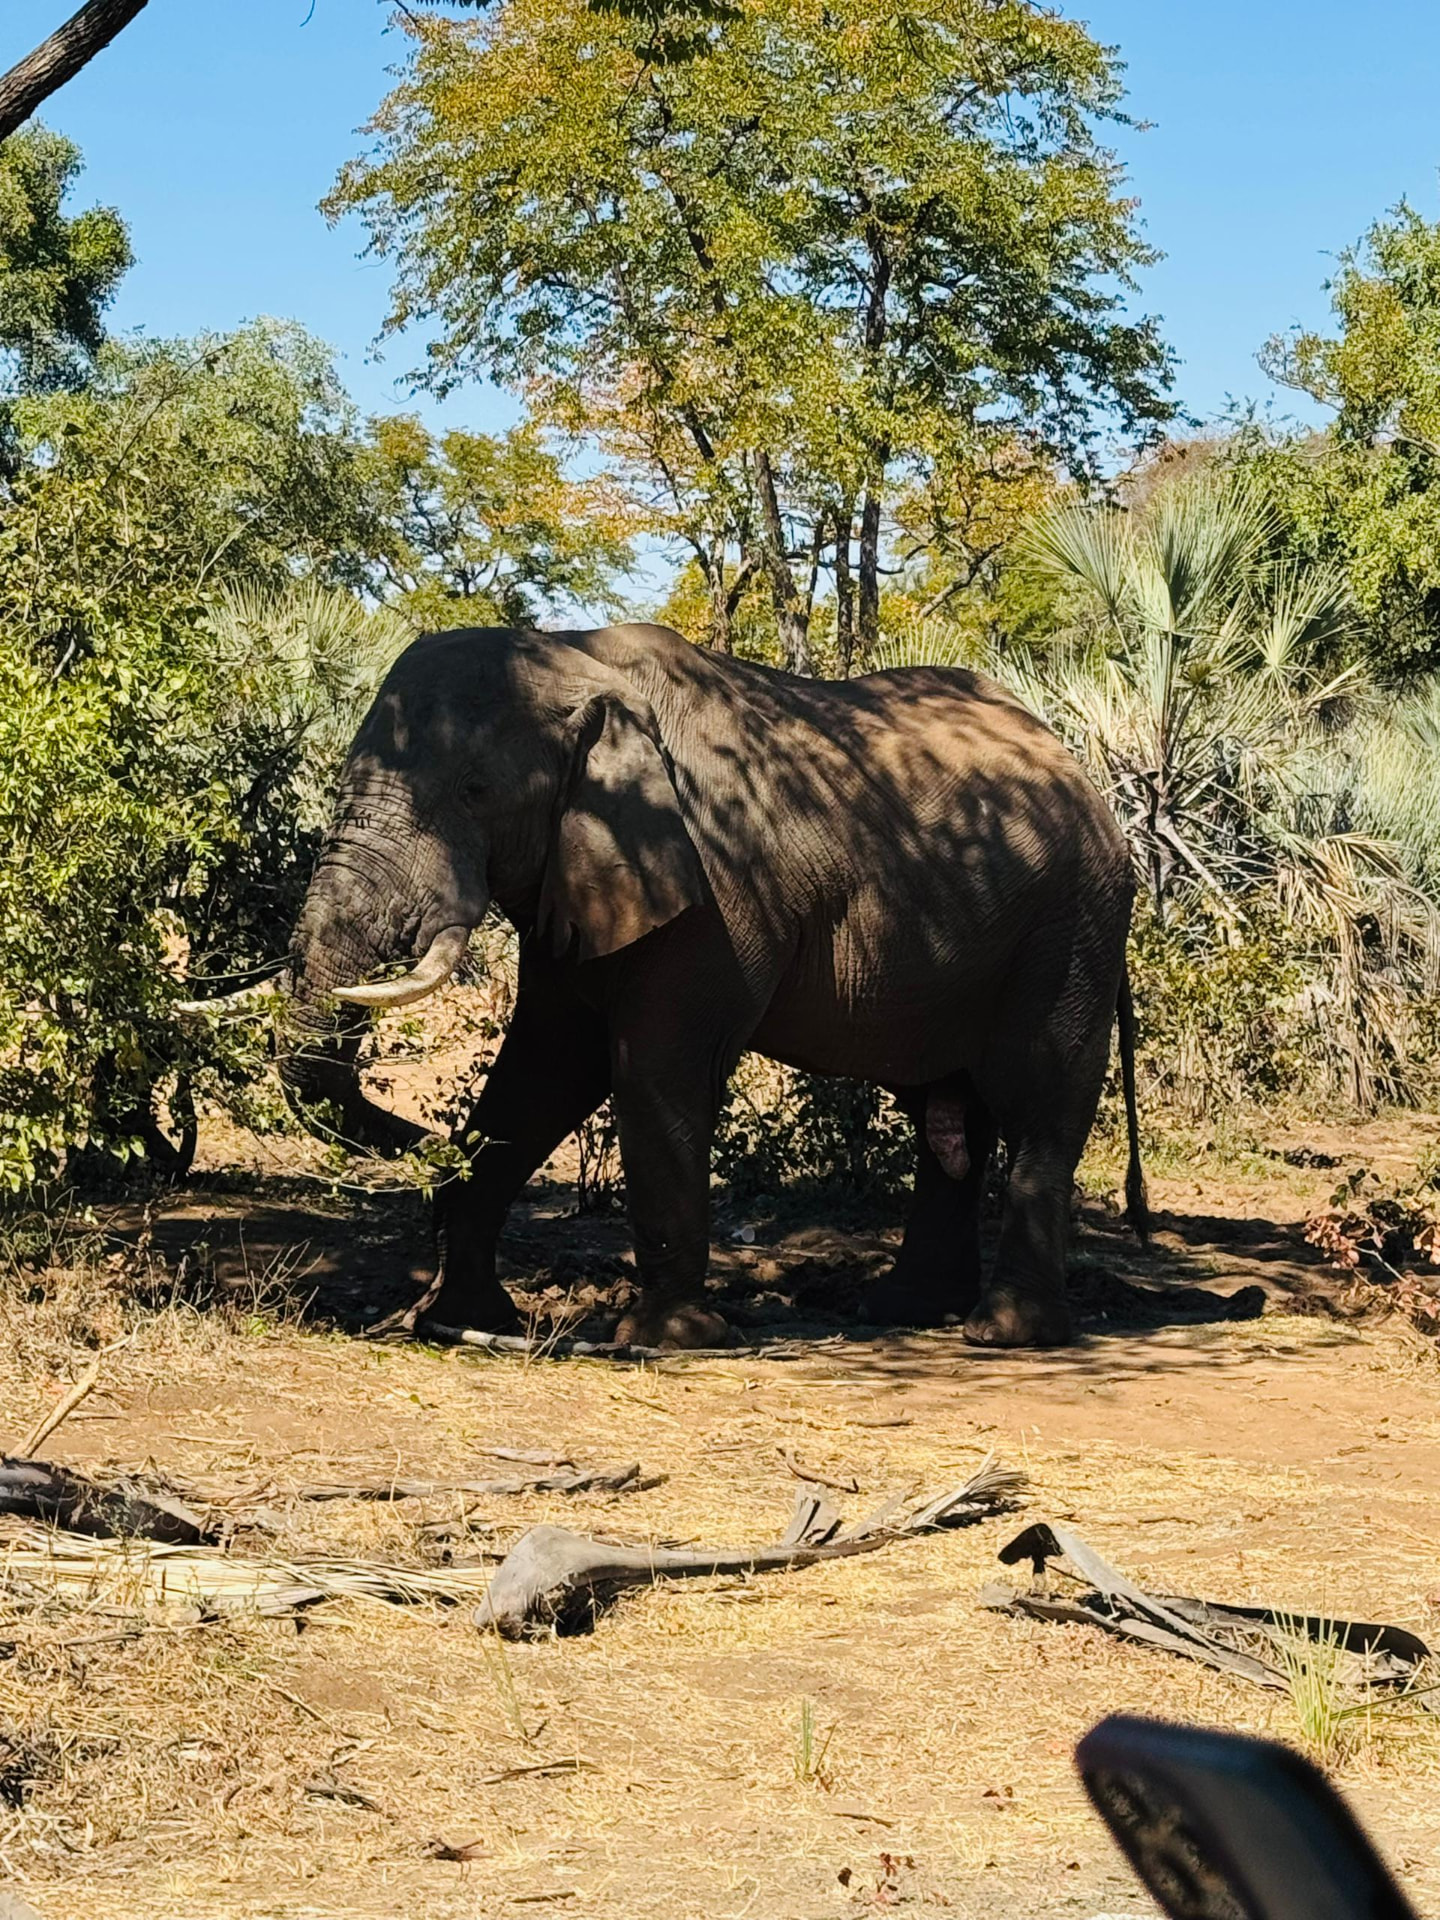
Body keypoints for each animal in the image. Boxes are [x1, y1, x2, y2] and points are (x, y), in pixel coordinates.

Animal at [222, 620, 1146, 1349]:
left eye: (474, 791)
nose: (425, 1148)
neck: (571, 656)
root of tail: (1084, 773)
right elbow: (542, 1072)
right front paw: (465, 1318)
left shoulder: (712, 892)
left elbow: (651, 1075)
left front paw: (669, 1340)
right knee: (944, 1116)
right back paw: (903, 1311)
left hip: (1072, 924)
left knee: (1038, 1096)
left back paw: (1005, 1334)